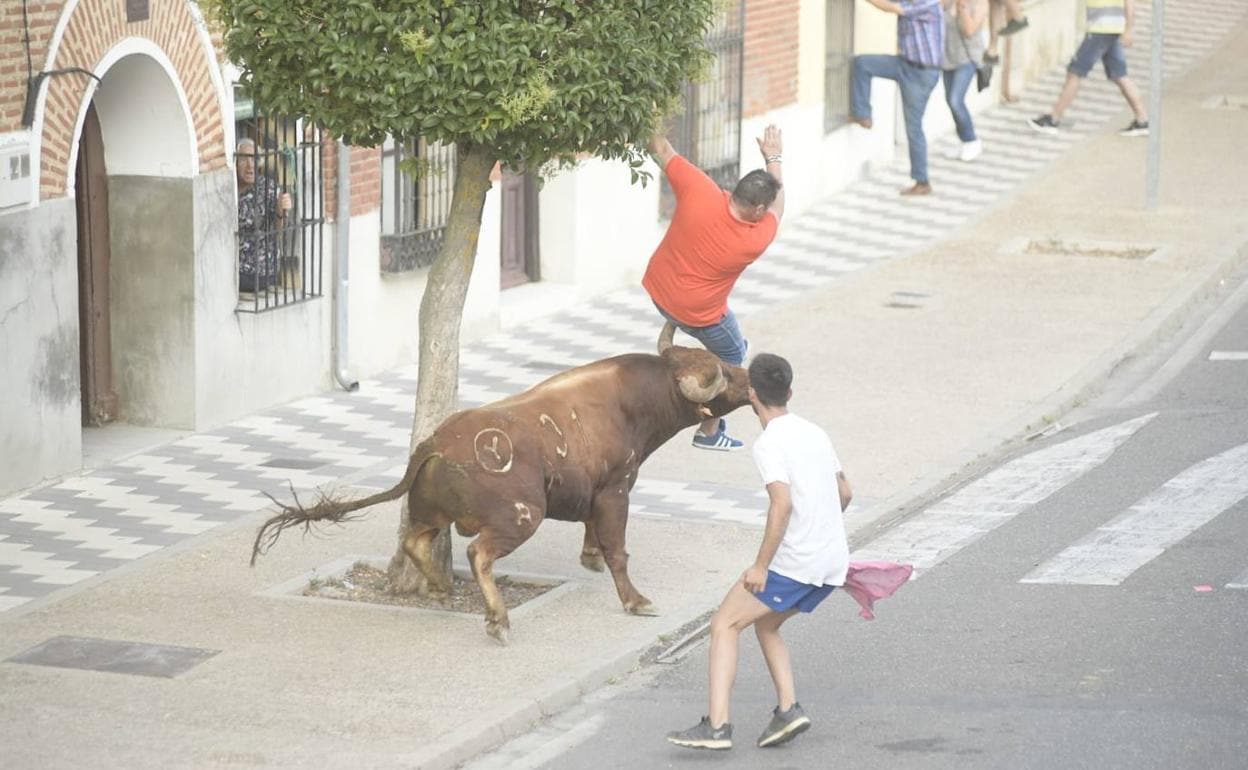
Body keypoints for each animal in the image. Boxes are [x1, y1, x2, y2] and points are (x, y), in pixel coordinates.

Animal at [248, 321, 743, 643]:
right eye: (721, 375)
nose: (749, 373)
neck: (632, 400)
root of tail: (437, 442)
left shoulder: (594, 491)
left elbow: (594, 532)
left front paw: (590, 558)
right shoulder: (617, 488)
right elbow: (617, 548)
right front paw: (636, 600)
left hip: (430, 512)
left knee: (416, 541)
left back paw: (442, 588)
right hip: (522, 516)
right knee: (478, 554)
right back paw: (498, 620)